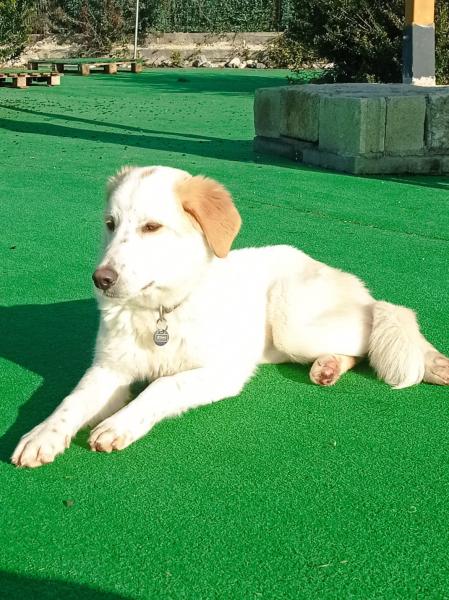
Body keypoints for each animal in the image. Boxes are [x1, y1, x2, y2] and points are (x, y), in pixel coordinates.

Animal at [12, 166, 449, 468]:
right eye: (110, 224)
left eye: (152, 227)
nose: (101, 280)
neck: (162, 314)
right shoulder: (109, 370)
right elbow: (71, 401)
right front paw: (43, 434)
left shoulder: (221, 371)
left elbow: (162, 386)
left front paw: (120, 424)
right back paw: (328, 367)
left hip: (294, 325)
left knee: (379, 322)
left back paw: (429, 362)